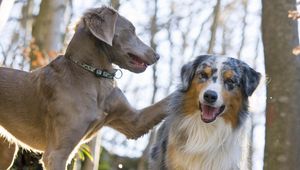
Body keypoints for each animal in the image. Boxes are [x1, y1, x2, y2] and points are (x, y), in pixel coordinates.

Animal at [0, 5, 170, 169]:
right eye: (131, 30)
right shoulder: (56, 153)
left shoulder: (134, 121)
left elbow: (164, 104)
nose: (157, 56)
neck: (93, 74)